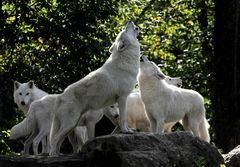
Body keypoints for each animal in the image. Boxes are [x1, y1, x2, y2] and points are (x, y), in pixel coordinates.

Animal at [50, 21, 141, 156]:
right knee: (55, 139)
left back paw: (58, 154)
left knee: (59, 140)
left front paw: (129, 129)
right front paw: (126, 131)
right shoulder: (122, 98)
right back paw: (53, 155)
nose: (129, 21)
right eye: (125, 29)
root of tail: (60, 97)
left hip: (71, 126)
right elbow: (123, 118)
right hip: (70, 124)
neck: (125, 59)